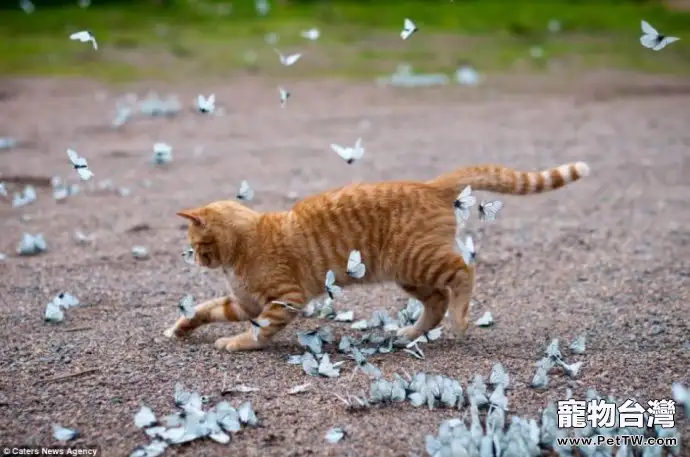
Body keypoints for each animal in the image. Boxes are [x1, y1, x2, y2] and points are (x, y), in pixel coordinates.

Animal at [165, 162, 584, 350]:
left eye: (194, 242)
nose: (192, 257)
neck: (242, 248)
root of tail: (429, 185)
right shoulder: (244, 303)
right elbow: (203, 309)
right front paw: (181, 327)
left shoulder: (284, 299)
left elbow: (259, 330)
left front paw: (237, 343)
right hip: (410, 275)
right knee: (436, 302)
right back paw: (410, 333)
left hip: (421, 261)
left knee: (464, 273)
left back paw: (461, 318)